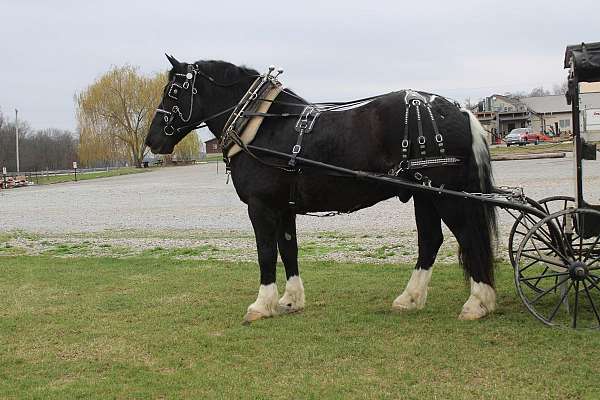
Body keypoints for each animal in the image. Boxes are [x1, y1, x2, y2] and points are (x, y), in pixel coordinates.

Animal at [145, 56, 496, 324]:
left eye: (173, 90)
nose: (152, 140)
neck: (264, 125)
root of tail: (459, 111)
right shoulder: (283, 208)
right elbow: (289, 249)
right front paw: (290, 300)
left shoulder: (261, 207)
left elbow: (265, 252)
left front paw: (261, 305)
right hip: (424, 195)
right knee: (430, 241)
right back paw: (409, 298)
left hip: (444, 195)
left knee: (467, 236)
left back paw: (478, 302)